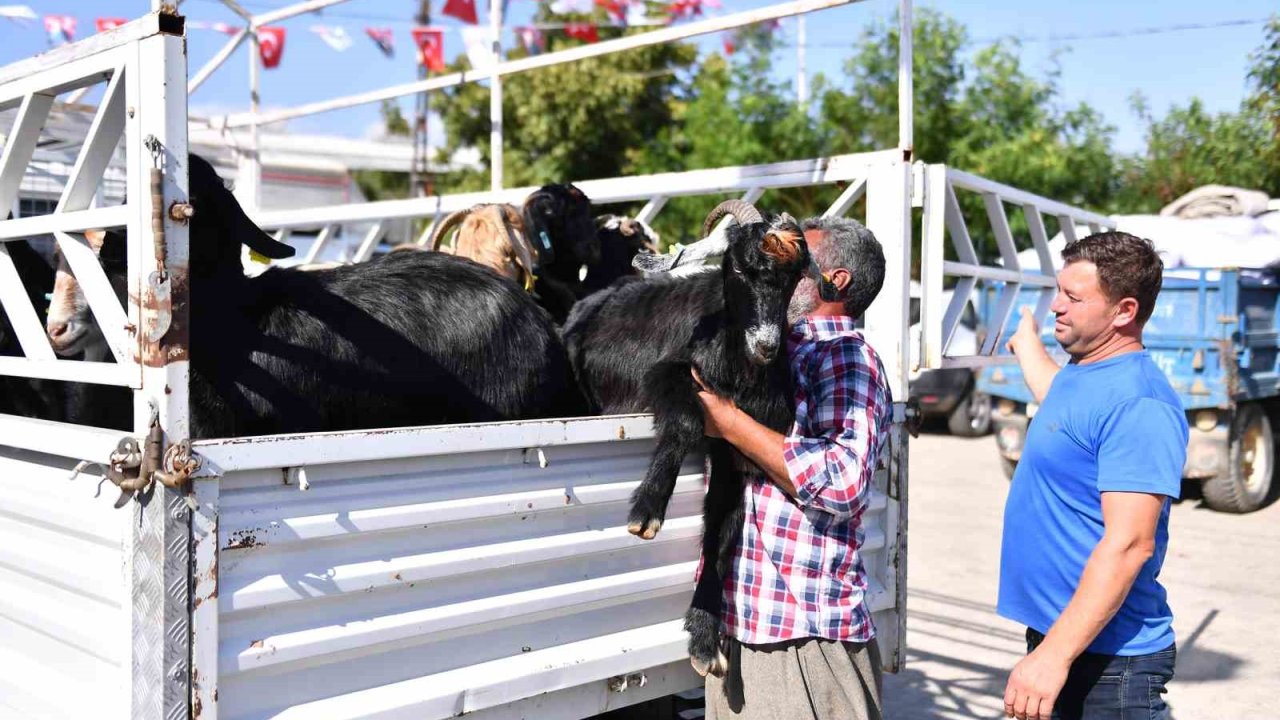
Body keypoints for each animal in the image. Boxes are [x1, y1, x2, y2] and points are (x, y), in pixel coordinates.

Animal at [560, 198, 819, 676]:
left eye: (794, 278)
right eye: (739, 268)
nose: (767, 346)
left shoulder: (738, 447)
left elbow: (722, 526)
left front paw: (703, 638)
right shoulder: (666, 374)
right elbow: (684, 421)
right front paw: (647, 511)